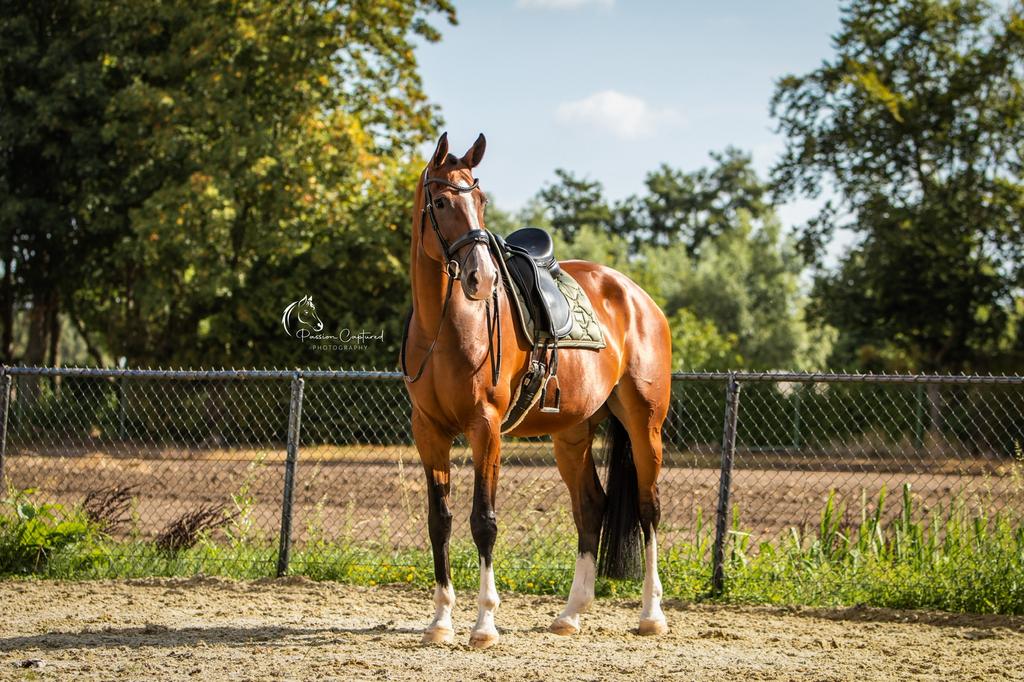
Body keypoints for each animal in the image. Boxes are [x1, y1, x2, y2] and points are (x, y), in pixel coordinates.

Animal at [401, 132, 672, 648]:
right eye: (441, 201)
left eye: (481, 201)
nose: (482, 278)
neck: (446, 326)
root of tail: (636, 296)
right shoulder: (429, 432)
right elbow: (438, 520)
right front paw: (440, 622)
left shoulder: (485, 428)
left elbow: (483, 522)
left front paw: (484, 625)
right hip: (572, 434)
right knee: (592, 507)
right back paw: (570, 614)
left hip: (644, 423)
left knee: (648, 510)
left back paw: (651, 615)